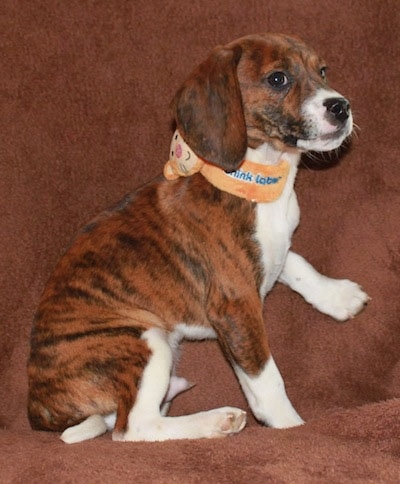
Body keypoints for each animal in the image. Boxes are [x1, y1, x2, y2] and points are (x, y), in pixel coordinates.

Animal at [26, 33, 368, 442]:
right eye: (278, 79)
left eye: (323, 71)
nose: (341, 106)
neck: (258, 182)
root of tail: (38, 406)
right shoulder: (236, 306)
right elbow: (267, 380)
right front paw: (291, 429)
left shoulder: (263, 257)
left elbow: (295, 262)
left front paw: (337, 295)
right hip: (143, 340)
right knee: (133, 428)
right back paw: (216, 421)